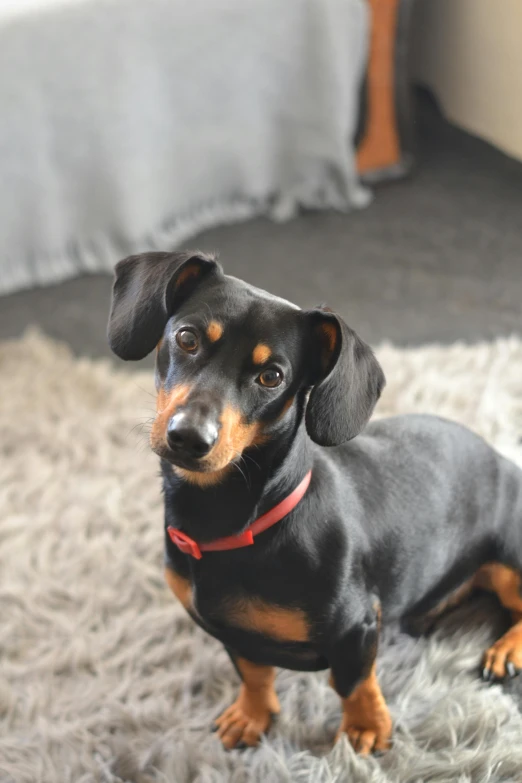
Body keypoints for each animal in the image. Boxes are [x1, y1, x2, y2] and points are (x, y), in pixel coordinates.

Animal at [107, 250, 520, 752]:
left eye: (271, 376)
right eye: (187, 338)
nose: (188, 438)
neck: (236, 521)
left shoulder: (356, 627)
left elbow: (352, 681)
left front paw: (365, 727)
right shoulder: (232, 635)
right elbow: (253, 672)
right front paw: (252, 715)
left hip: (512, 556)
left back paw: (506, 649)